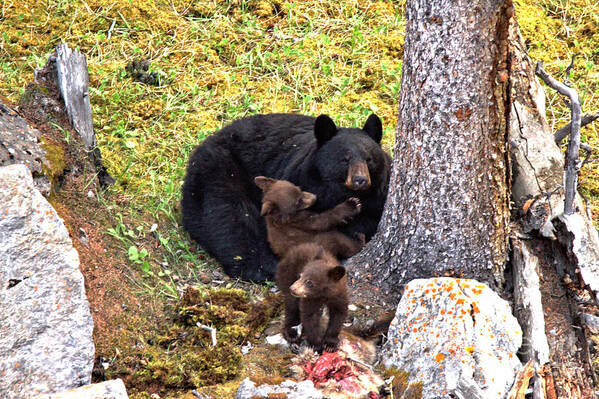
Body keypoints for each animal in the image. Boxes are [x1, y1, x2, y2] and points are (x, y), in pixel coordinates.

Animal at [180, 112, 392, 282]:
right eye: (344, 159)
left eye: (369, 159)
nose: (360, 180)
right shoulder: (296, 187)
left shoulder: (377, 200)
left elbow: (367, 221)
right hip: (222, 172)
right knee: (231, 218)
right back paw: (259, 267)